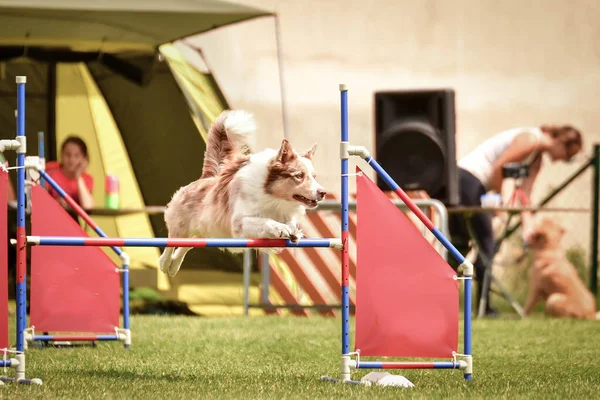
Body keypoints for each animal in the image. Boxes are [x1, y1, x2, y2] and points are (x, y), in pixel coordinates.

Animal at [157, 111, 326, 276]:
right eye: (299, 175)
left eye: (314, 176)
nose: (323, 192)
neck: (274, 197)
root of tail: (207, 177)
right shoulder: (239, 222)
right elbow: (264, 220)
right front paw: (280, 228)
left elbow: (289, 223)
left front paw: (294, 231)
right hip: (182, 226)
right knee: (172, 242)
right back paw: (165, 263)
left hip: (208, 231)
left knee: (187, 244)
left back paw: (173, 266)